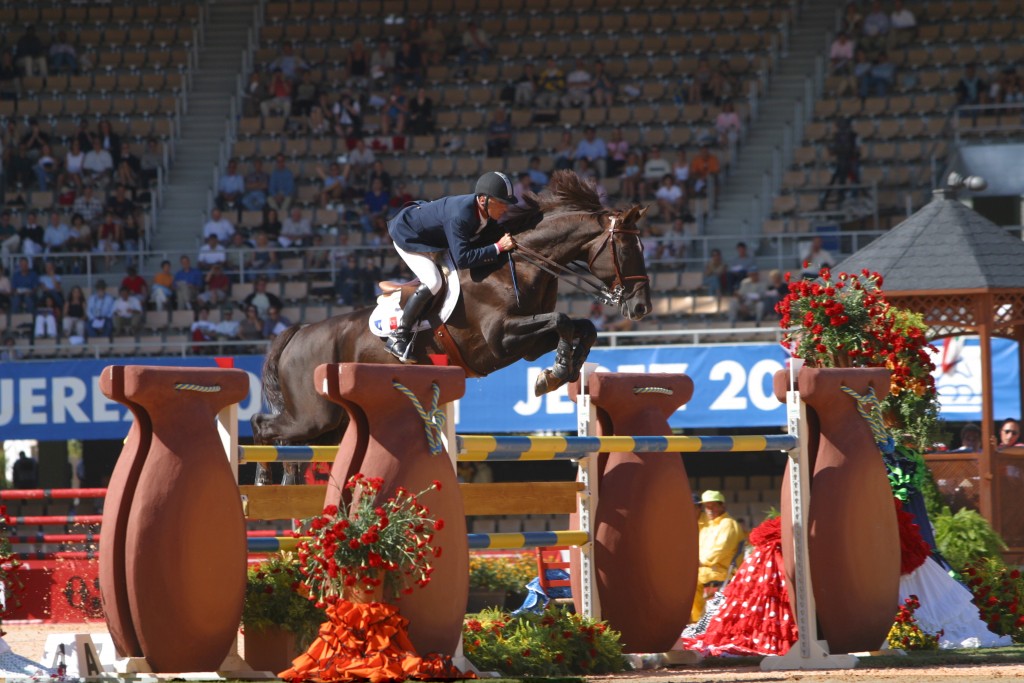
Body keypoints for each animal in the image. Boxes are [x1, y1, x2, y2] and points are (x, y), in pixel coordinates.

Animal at [251, 172, 651, 448]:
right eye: (627, 249)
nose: (642, 307)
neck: (519, 266)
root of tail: (298, 333)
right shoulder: (502, 338)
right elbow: (564, 319)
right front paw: (555, 373)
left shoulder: (527, 344)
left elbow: (581, 327)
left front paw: (560, 371)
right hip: (313, 415)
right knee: (263, 425)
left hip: (332, 423)